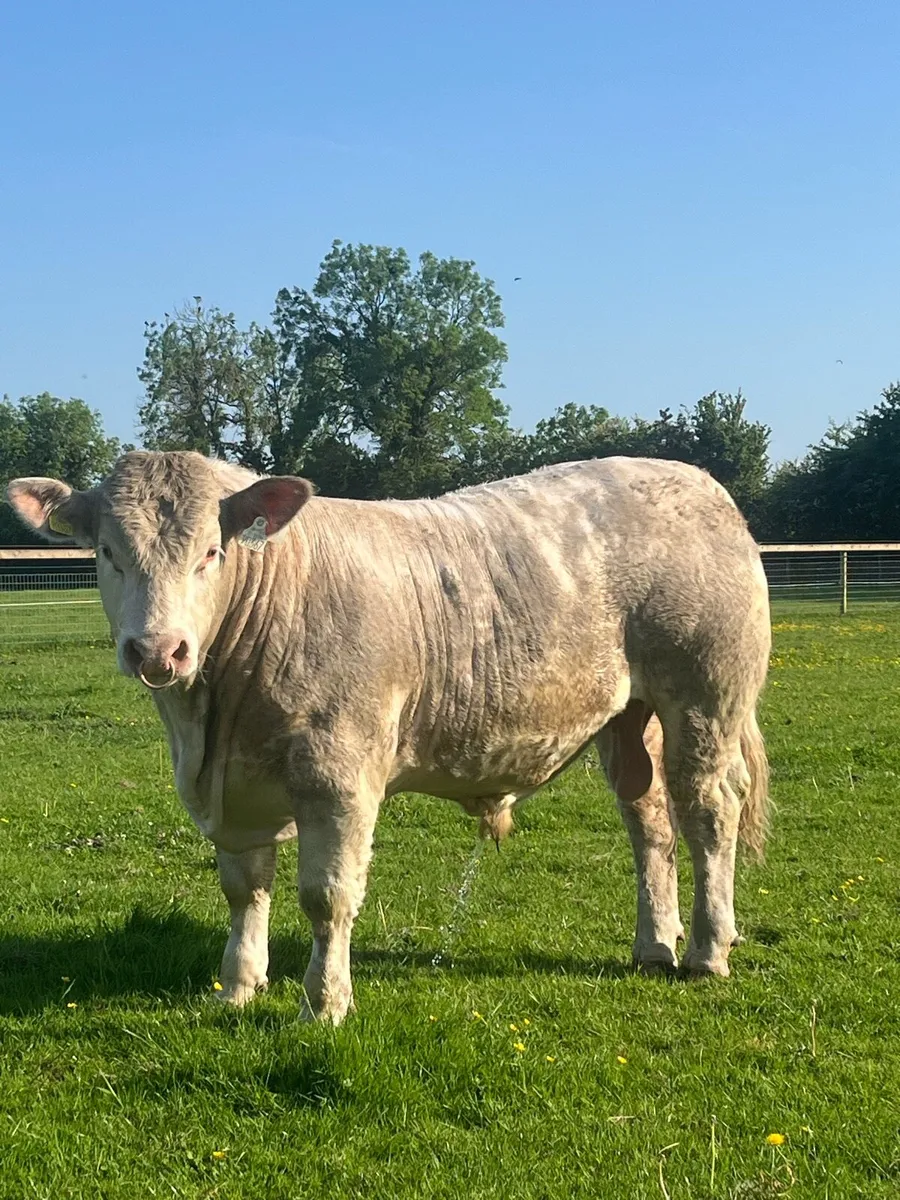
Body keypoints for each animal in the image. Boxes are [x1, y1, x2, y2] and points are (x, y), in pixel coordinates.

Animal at [8, 452, 770, 1024]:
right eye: (108, 551)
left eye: (211, 552)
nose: (158, 650)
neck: (209, 726)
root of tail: (697, 481)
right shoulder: (239, 790)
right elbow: (243, 889)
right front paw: (237, 987)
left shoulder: (338, 775)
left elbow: (327, 896)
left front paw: (324, 1003)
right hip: (627, 719)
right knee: (650, 821)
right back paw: (654, 944)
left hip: (705, 699)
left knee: (709, 813)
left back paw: (707, 951)